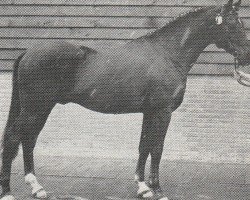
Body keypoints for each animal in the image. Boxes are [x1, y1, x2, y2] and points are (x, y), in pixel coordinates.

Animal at [0, 0, 250, 200]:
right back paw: (8, 192)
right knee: (13, 138)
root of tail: (28, 52)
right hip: (36, 108)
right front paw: (158, 191)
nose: (246, 55)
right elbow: (157, 148)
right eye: (232, 24)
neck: (168, 53)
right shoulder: (162, 112)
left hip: (41, 109)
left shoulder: (149, 111)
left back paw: (36, 187)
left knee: (28, 139)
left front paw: (143, 187)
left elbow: (144, 146)